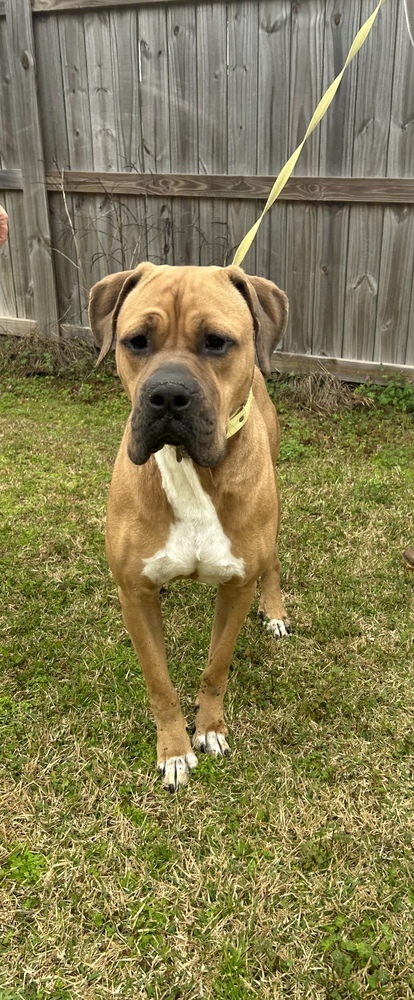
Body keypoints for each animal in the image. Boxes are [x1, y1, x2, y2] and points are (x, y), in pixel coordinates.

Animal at [90, 264, 292, 788]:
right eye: (136, 341)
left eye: (217, 342)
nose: (167, 395)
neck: (190, 468)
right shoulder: (133, 596)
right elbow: (159, 684)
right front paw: (175, 750)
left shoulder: (236, 587)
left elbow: (216, 668)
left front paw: (209, 728)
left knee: (273, 562)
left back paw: (276, 609)